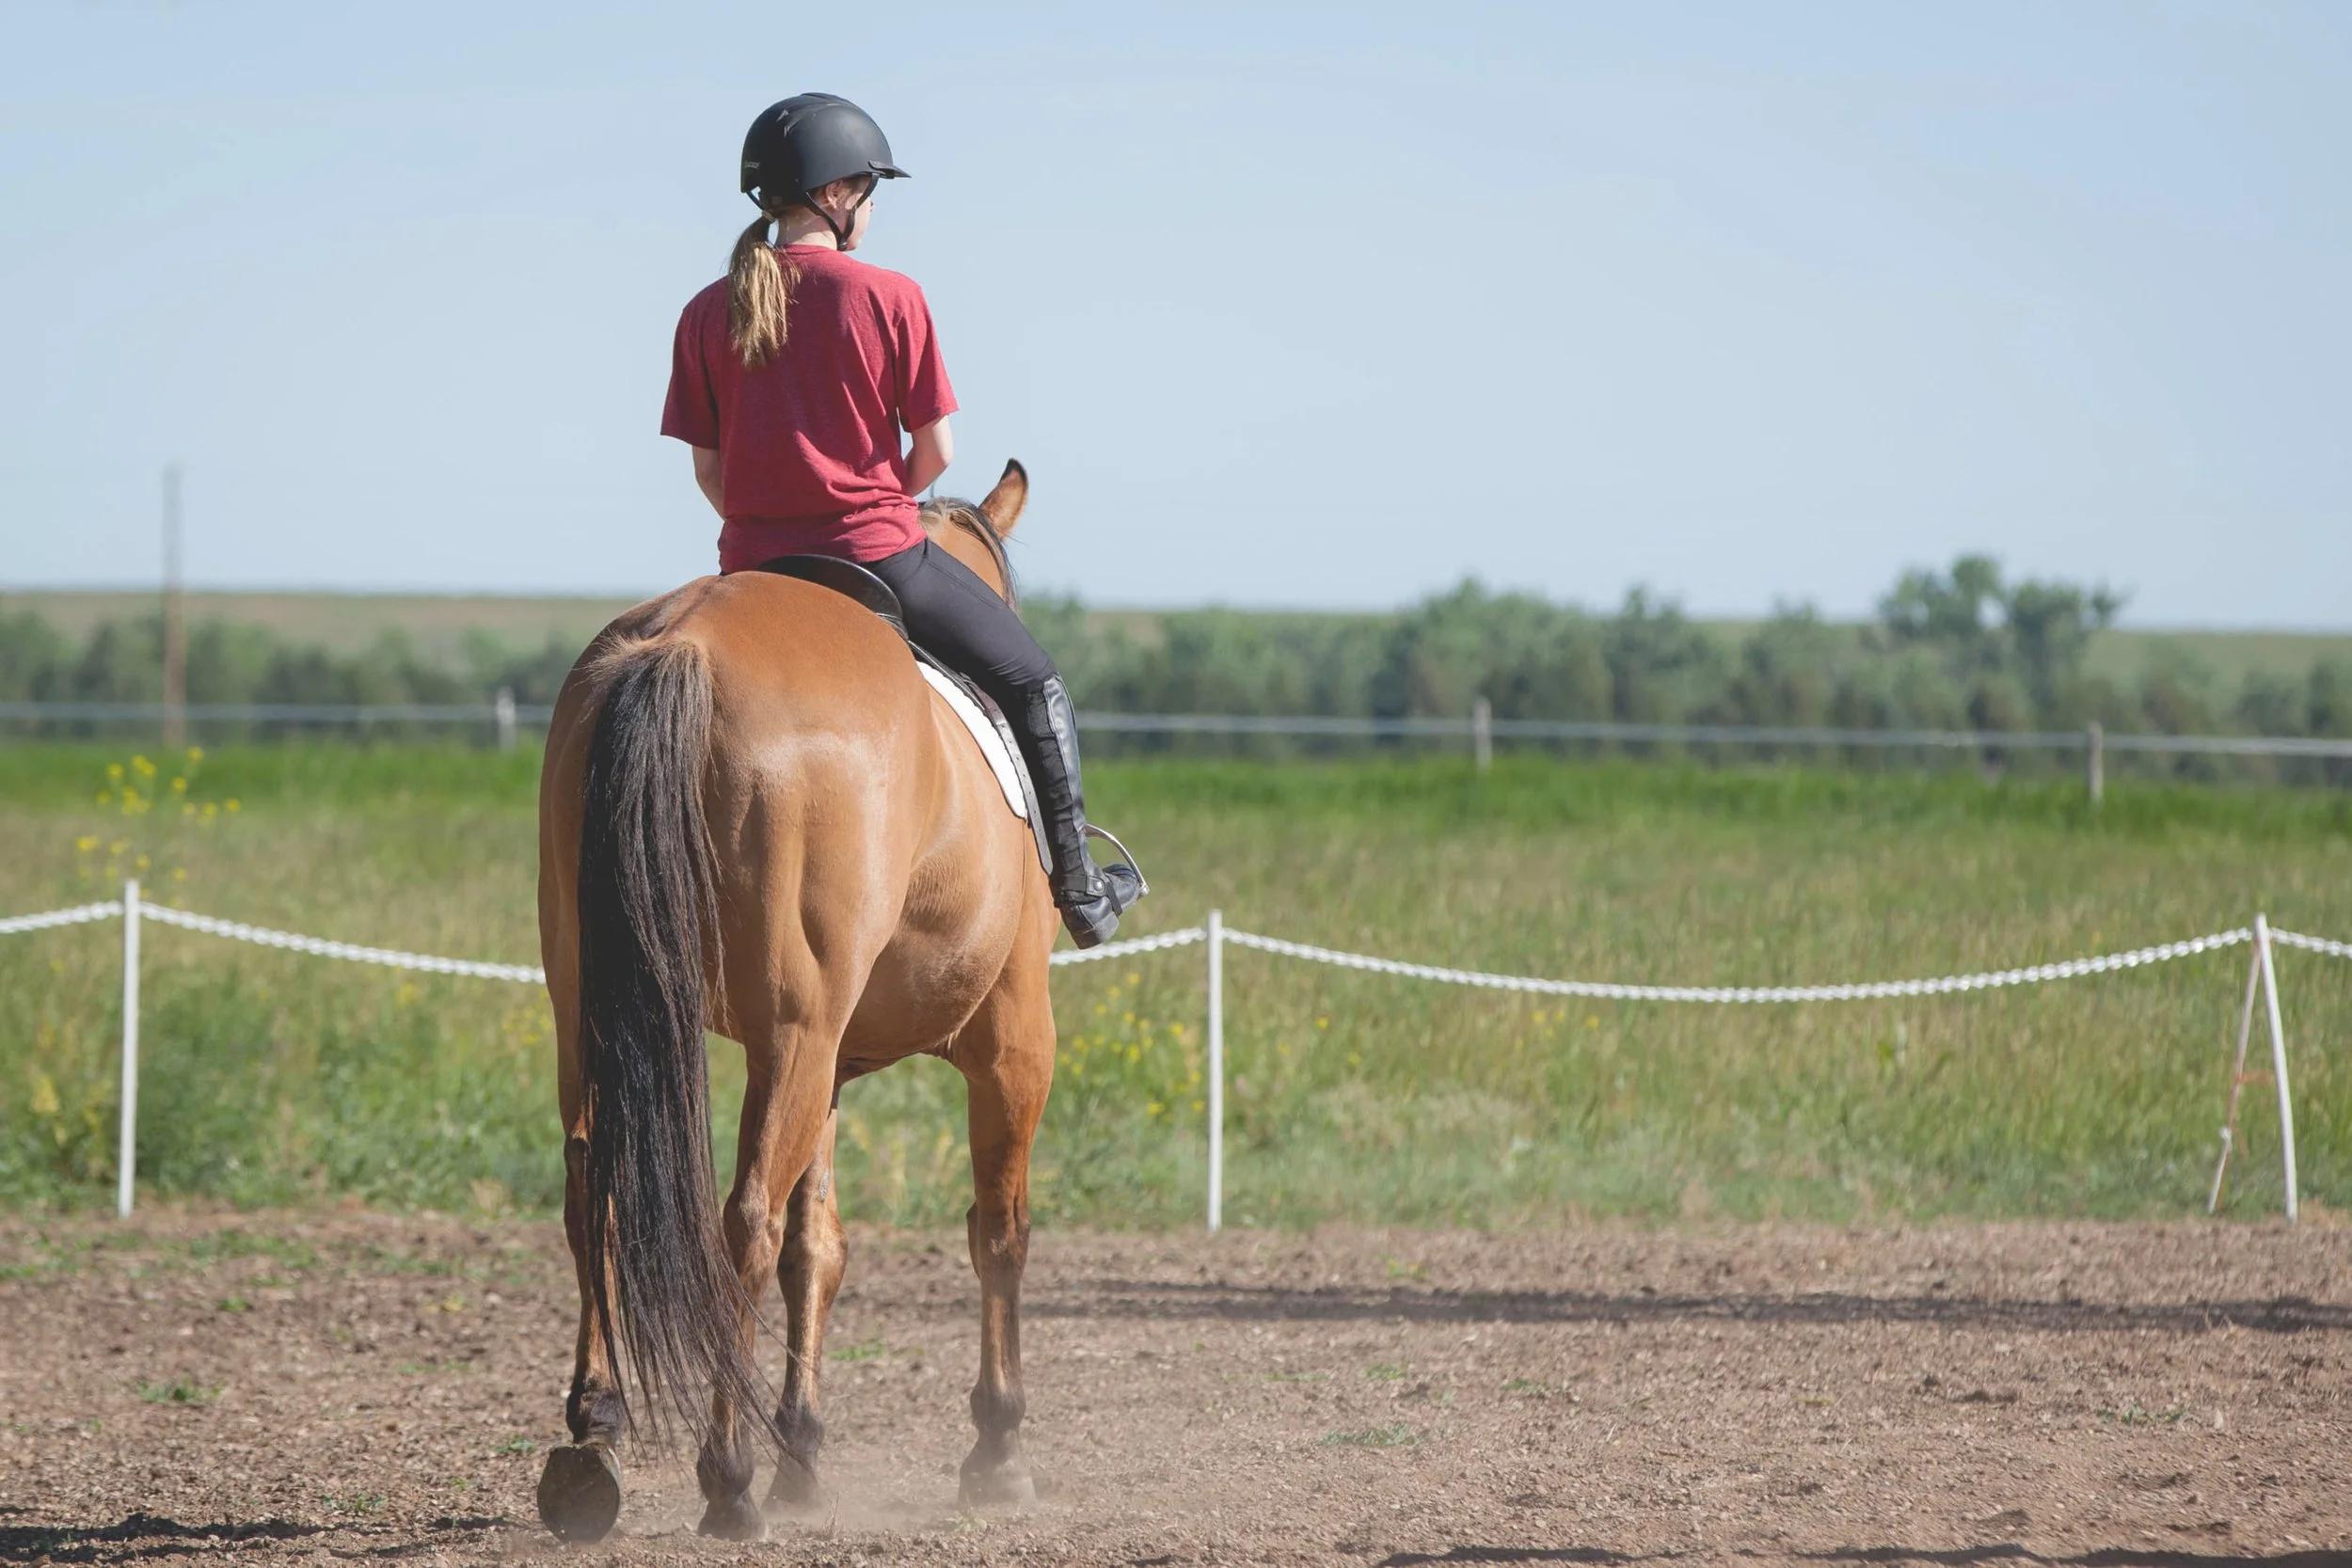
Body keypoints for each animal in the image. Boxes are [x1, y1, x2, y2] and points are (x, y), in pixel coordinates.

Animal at [530, 461, 1059, 1542]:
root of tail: (682, 640)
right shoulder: (1012, 1046)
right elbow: (998, 1230)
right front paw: (996, 1448)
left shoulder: (831, 1060)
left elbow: (820, 1245)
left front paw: (804, 1454)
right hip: (797, 1033)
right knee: (743, 1221)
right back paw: (727, 1474)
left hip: (603, 1015)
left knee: (593, 1181)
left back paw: (594, 1436)